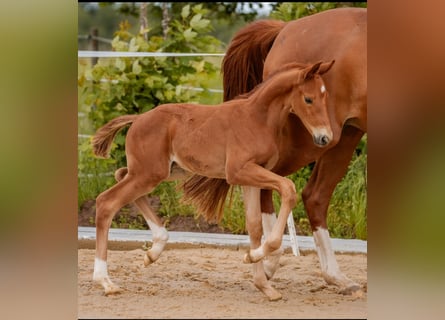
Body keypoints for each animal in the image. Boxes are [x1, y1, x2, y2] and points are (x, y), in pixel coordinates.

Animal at [91, 60, 332, 298]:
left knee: (120, 174)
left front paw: (263, 282)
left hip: (162, 171)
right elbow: (288, 188)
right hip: (149, 173)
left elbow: (254, 225)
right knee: (106, 202)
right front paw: (255, 257)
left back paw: (154, 250)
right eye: (308, 99)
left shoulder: (251, 176)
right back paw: (106, 281)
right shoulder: (238, 171)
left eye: (325, 96)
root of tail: (138, 118)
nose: (325, 138)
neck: (257, 119)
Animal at [182, 7, 366, 296]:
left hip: (344, 135)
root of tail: (285, 28)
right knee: (282, 188)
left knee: (310, 195)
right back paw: (266, 260)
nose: (323, 135)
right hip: (315, 139)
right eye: (309, 99)